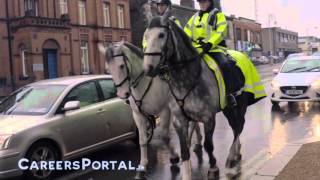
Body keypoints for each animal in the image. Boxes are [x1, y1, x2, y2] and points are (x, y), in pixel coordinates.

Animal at [99, 41, 202, 179]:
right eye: (107, 69)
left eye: (121, 66)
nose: (122, 94)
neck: (144, 83)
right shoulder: (138, 114)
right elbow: (142, 140)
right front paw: (142, 167)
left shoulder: (165, 110)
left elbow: (164, 136)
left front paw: (174, 157)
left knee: (193, 123)